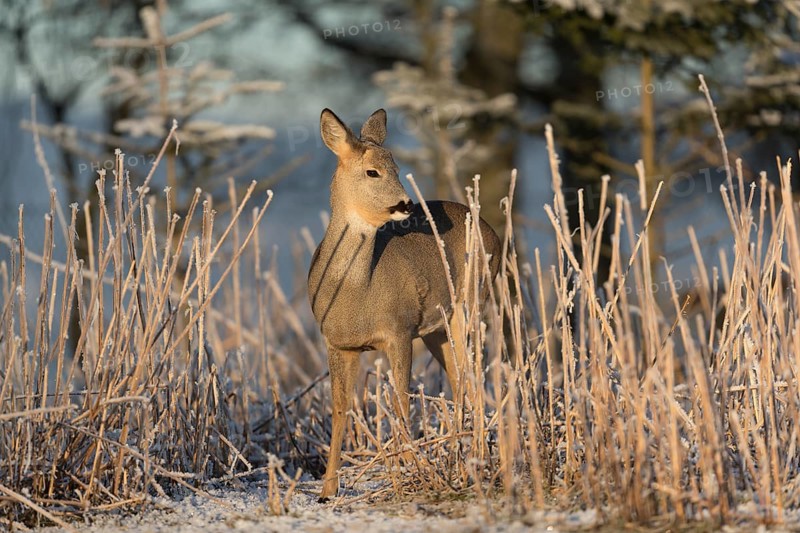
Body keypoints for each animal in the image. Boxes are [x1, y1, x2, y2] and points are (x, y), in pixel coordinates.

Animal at [307, 108, 501, 501]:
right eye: (373, 171)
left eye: (397, 167)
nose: (406, 205)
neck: (357, 292)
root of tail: (496, 234)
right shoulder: (337, 342)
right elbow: (340, 409)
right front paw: (327, 490)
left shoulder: (399, 330)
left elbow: (401, 401)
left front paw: (406, 471)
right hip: (436, 329)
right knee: (459, 380)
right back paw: (462, 451)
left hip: (470, 304)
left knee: (473, 378)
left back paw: (473, 456)